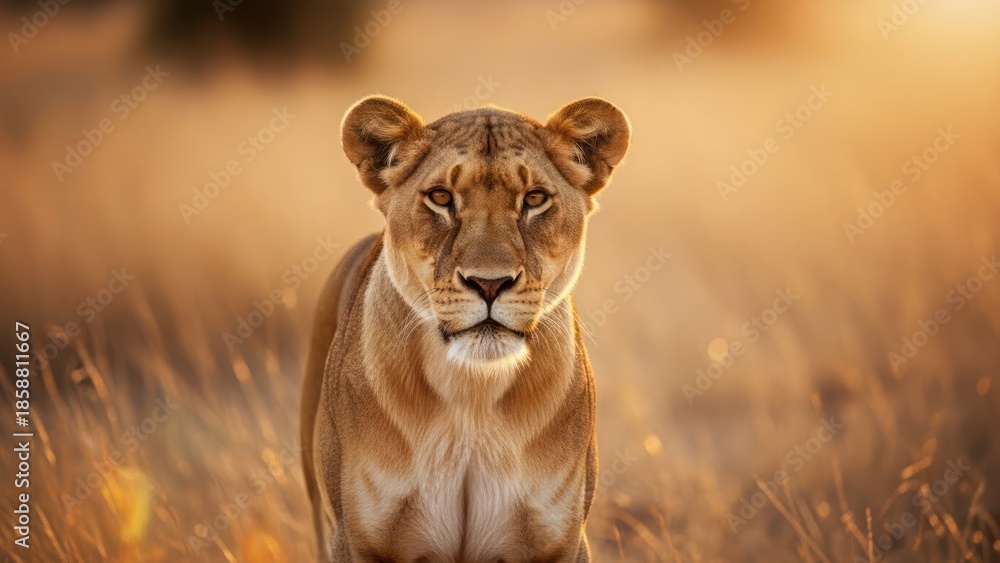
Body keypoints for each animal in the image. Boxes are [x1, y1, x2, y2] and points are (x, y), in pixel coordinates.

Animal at [301, 94, 630, 562]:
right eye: (441, 197)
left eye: (535, 198)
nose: (489, 283)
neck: (472, 390)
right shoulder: (356, 540)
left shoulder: (562, 543)